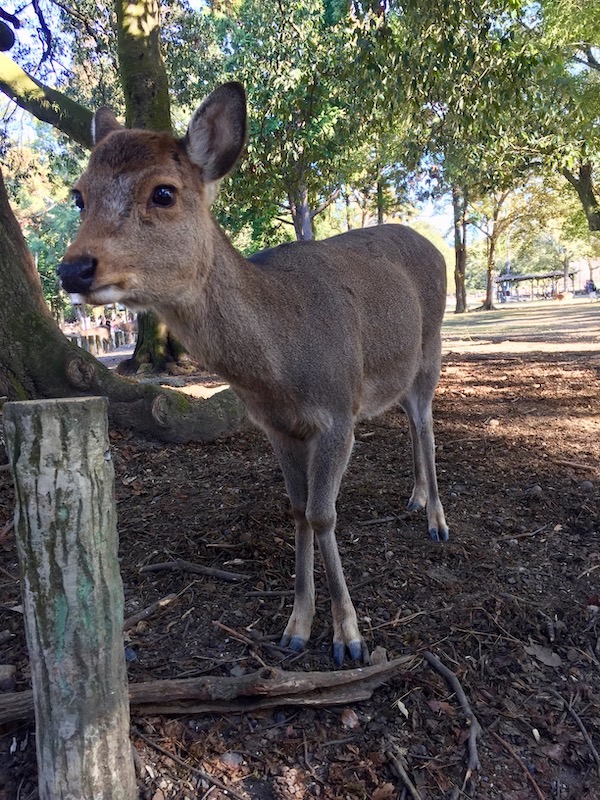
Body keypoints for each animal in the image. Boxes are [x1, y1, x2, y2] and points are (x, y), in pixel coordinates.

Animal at [57, 83, 450, 668]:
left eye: (164, 192)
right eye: (79, 195)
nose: (73, 268)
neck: (280, 368)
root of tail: (435, 248)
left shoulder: (337, 412)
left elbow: (324, 515)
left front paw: (348, 637)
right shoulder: (277, 427)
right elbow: (298, 511)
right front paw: (296, 627)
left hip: (431, 348)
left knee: (426, 423)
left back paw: (438, 522)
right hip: (394, 373)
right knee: (408, 418)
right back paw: (416, 498)